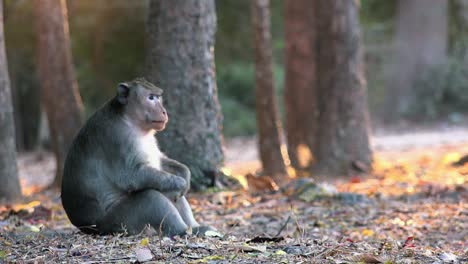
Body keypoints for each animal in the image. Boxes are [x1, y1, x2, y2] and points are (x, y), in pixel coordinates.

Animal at [61, 77, 214, 236]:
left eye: (158, 97)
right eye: (151, 98)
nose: (164, 111)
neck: (129, 119)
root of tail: (88, 227)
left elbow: (160, 162)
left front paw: (185, 175)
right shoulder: (118, 137)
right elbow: (130, 176)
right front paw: (181, 183)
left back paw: (196, 228)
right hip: (118, 222)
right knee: (150, 198)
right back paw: (182, 231)